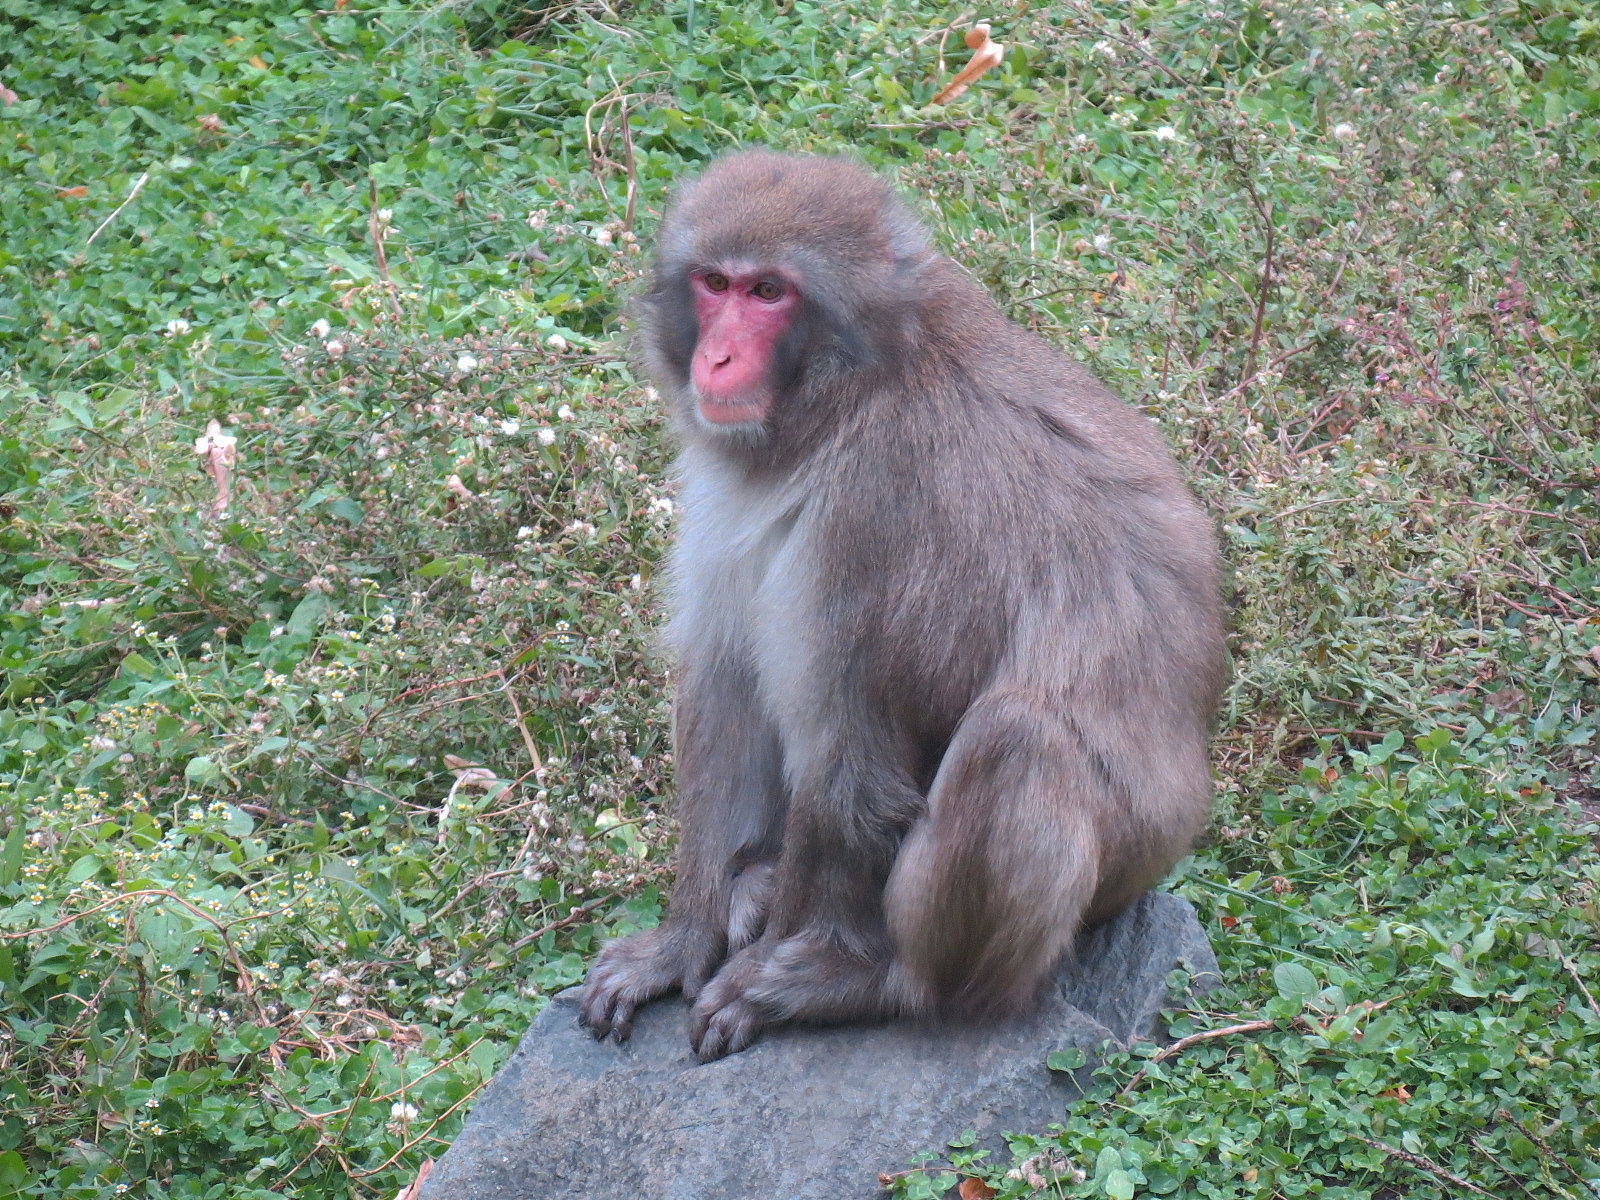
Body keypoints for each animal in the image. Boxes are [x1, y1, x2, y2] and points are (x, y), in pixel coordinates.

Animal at [578, 150, 1226, 1061]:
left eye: (769, 293)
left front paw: (786, 968)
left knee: (1015, 740)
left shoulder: (875, 508)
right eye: (714, 283)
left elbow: (848, 759)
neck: (853, 389)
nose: (718, 361)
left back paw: (877, 984)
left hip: (1112, 877)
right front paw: (680, 945)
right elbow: (728, 690)